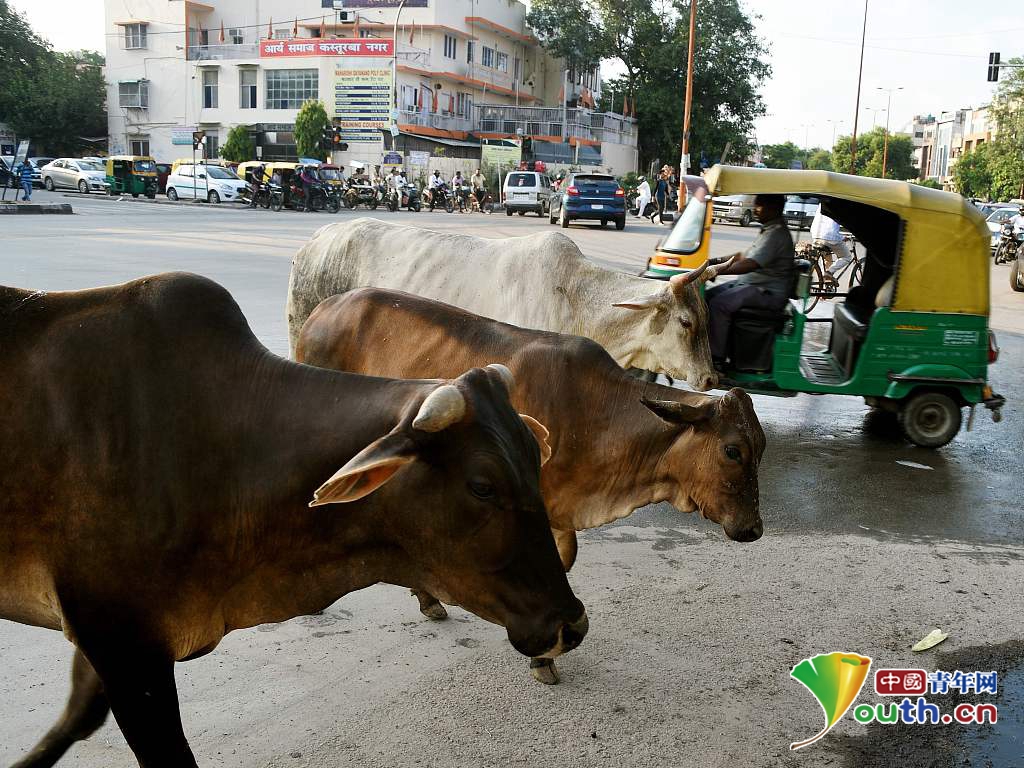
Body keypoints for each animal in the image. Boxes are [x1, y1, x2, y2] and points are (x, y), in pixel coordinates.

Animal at [0, 276, 589, 768]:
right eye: (482, 485)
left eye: (533, 459)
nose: (572, 625)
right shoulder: (122, 639)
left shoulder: (112, 640)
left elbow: (75, 720)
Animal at [292, 288, 765, 684]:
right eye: (732, 450)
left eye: (760, 447)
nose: (754, 529)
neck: (598, 419)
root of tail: (326, 307)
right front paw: (542, 657)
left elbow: (564, 561)